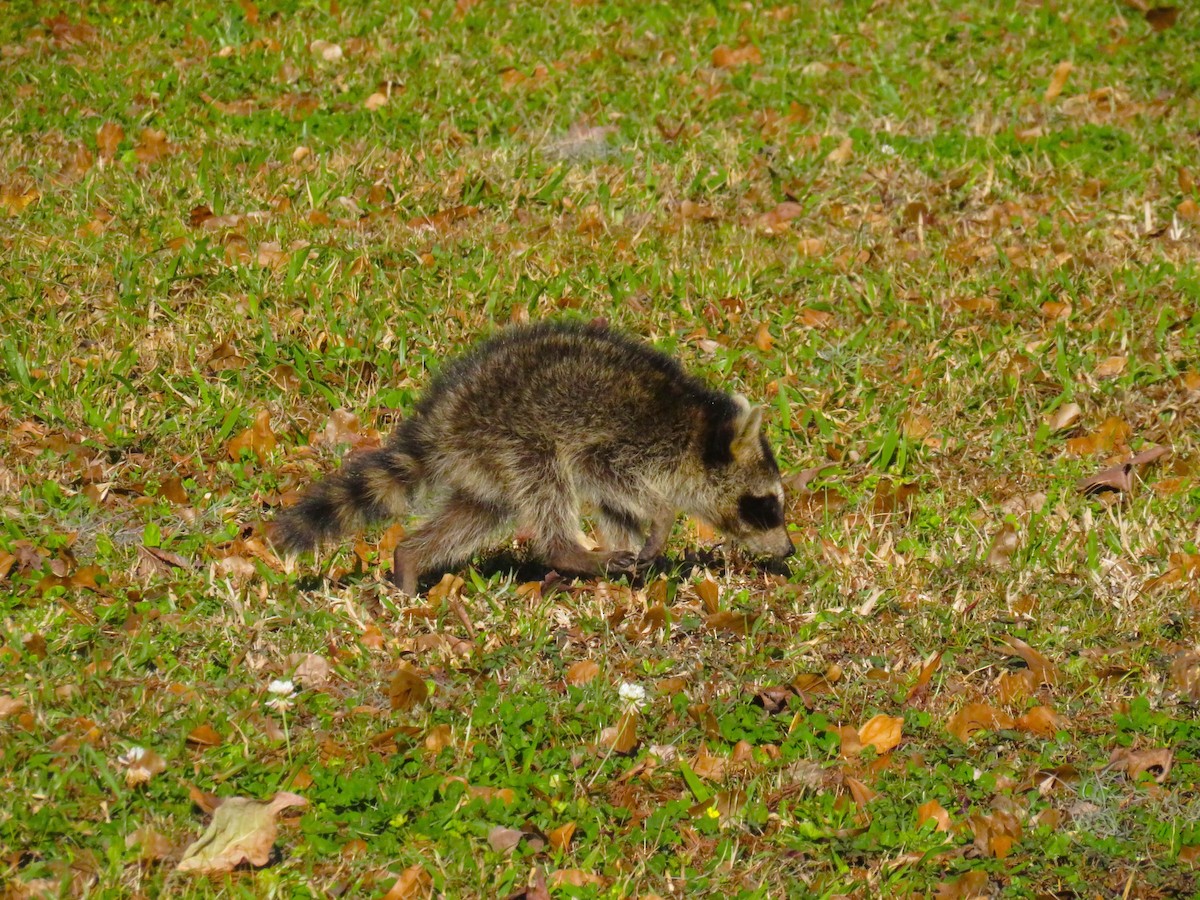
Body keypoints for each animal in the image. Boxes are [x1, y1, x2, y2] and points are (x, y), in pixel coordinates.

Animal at [271, 321, 794, 594]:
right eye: (765, 505)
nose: (789, 550)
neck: (699, 429)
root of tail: (439, 420)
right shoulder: (623, 444)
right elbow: (602, 472)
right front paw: (661, 517)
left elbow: (617, 510)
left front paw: (638, 559)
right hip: (510, 435)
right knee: (547, 477)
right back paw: (568, 552)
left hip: (483, 462)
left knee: (479, 511)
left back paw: (411, 557)